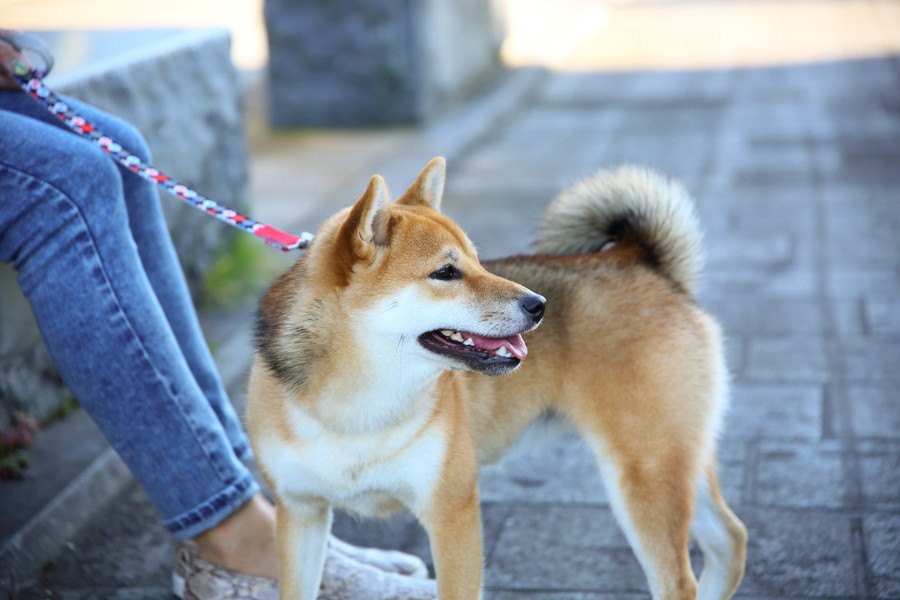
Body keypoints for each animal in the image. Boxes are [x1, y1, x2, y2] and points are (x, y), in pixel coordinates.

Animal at [246, 157, 744, 596]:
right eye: (446, 272)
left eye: (478, 262)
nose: (539, 305)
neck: (357, 408)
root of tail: (639, 259)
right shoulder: (300, 512)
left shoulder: (452, 511)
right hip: (673, 460)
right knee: (730, 539)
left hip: (645, 471)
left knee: (682, 578)